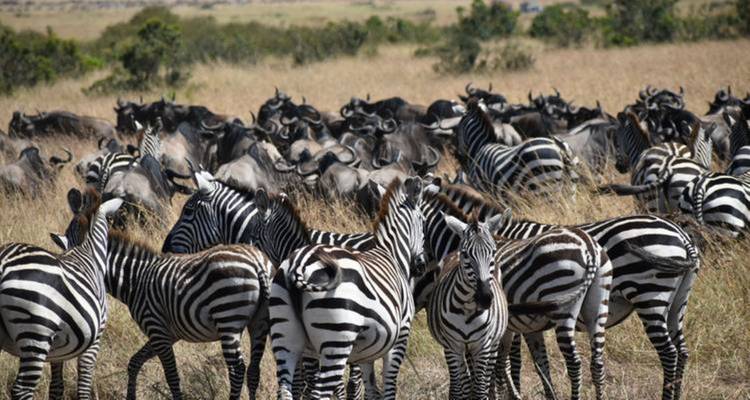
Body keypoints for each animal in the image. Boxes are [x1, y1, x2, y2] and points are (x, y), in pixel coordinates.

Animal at [0, 196, 122, 400]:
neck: (86, 251)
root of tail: (3, 264)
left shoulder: (56, 349)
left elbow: (56, 386)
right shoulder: (96, 337)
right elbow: (84, 381)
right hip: (36, 333)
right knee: (22, 389)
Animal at [51, 189, 273, 400]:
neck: (136, 277)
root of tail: (258, 263)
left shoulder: (157, 329)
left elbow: (171, 375)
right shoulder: (167, 333)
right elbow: (134, 362)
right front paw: (130, 396)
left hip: (228, 318)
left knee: (237, 369)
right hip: (258, 323)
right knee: (253, 369)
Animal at [269, 177, 427, 400]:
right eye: (422, 220)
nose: (421, 264)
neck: (391, 253)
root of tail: (298, 266)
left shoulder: (367, 352)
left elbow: (371, 389)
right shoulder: (401, 335)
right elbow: (388, 387)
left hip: (285, 338)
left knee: (285, 389)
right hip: (336, 340)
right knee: (319, 393)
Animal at [432, 179, 701, 400]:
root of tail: (681, 235)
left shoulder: (509, 321)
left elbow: (508, 364)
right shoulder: (523, 324)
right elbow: (532, 364)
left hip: (648, 296)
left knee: (668, 354)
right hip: (676, 304)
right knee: (682, 351)